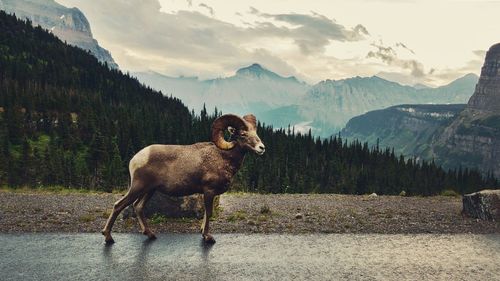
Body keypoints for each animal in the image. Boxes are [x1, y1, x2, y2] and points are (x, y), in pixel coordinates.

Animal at [102, 114, 266, 243]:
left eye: (255, 132)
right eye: (243, 134)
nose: (262, 148)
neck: (223, 157)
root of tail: (135, 159)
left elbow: (206, 214)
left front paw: (202, 232)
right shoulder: (209, 191)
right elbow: (209, 213)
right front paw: (207, 237)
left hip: (149, 190)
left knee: (138, 207)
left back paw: (150, 234)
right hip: (138, 188)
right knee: (118, 205)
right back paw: (108, 237)